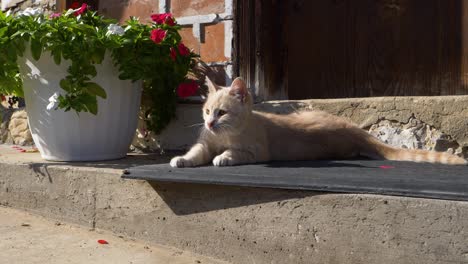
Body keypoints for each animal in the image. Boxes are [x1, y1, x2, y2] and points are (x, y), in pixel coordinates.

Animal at [170, 77, 466, 167]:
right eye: (206, 111)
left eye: (221, 113)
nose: (209, 124)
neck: (225, 135)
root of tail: (352, 129)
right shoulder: (205, 143)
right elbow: (196, 152)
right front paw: (182, 159)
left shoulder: (257, 151)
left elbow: (234, 153)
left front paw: (224, 157)